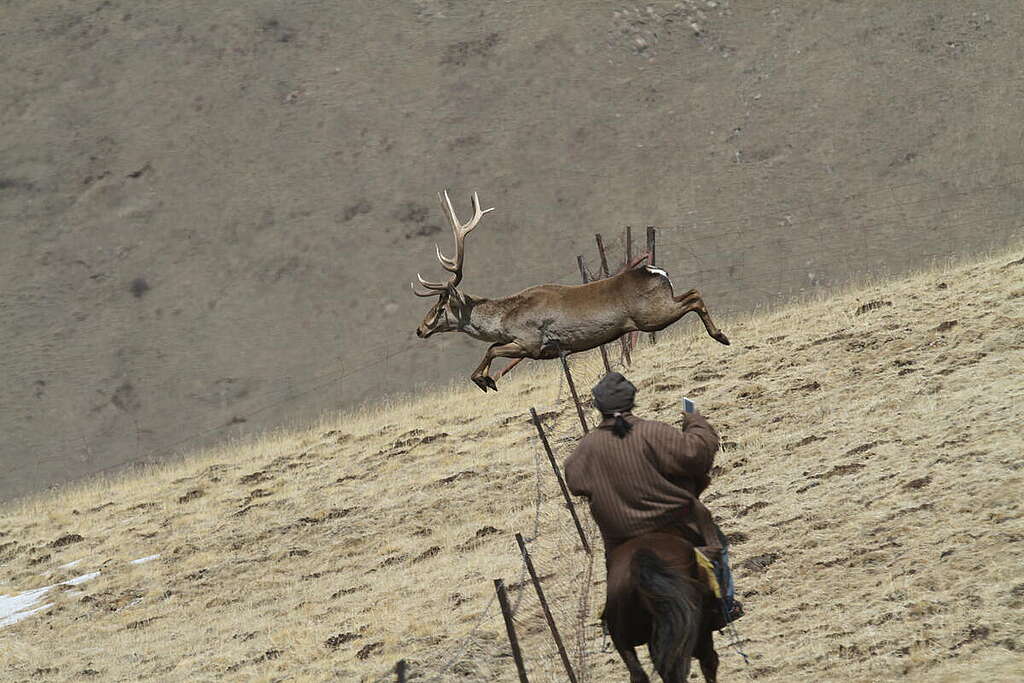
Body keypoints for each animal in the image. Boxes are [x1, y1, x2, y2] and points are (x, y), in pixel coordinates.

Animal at [411, 189, 733, 393]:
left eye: (440, 307)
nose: (420, 329)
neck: (504, 319)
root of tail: (656, 271)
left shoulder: (530, 342)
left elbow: (491, 349)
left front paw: (484, 380)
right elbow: (490, 350)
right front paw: (486, 379)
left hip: (650, 316)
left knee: (694, 295)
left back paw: (722, 336)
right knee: (692, 293)